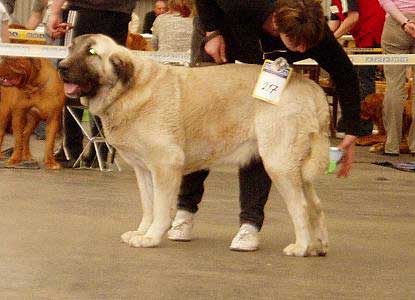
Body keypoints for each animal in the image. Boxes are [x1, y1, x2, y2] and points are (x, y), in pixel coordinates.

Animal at [58, 34, 332, 256]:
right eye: (71, 48)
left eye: (92, 52)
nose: (61, 66)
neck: (128, 89)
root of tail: (310, 85)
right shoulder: (144, 170)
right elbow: (148, 205)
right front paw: (141, 232)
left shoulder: (166, 165)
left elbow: (160, 207)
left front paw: (151, 237)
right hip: (298, 170)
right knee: (316, 206)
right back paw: (318, 246)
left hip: (279, 164)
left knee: (301, 207)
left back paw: (301, 247)